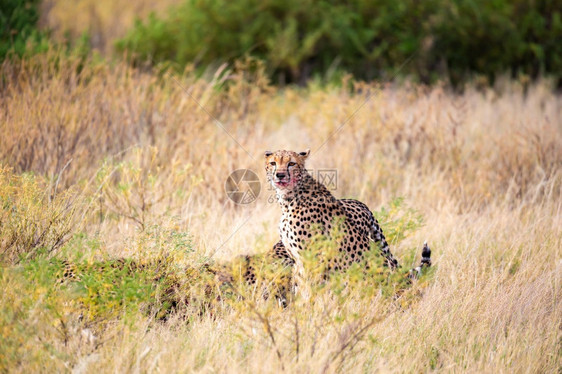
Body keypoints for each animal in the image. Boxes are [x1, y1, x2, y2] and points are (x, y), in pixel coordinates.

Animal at [262, 148, 428, 286]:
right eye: (273, 163)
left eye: (291, 163)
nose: (280, 175)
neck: (289, 198)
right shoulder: (296, 259)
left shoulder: (312, 259)